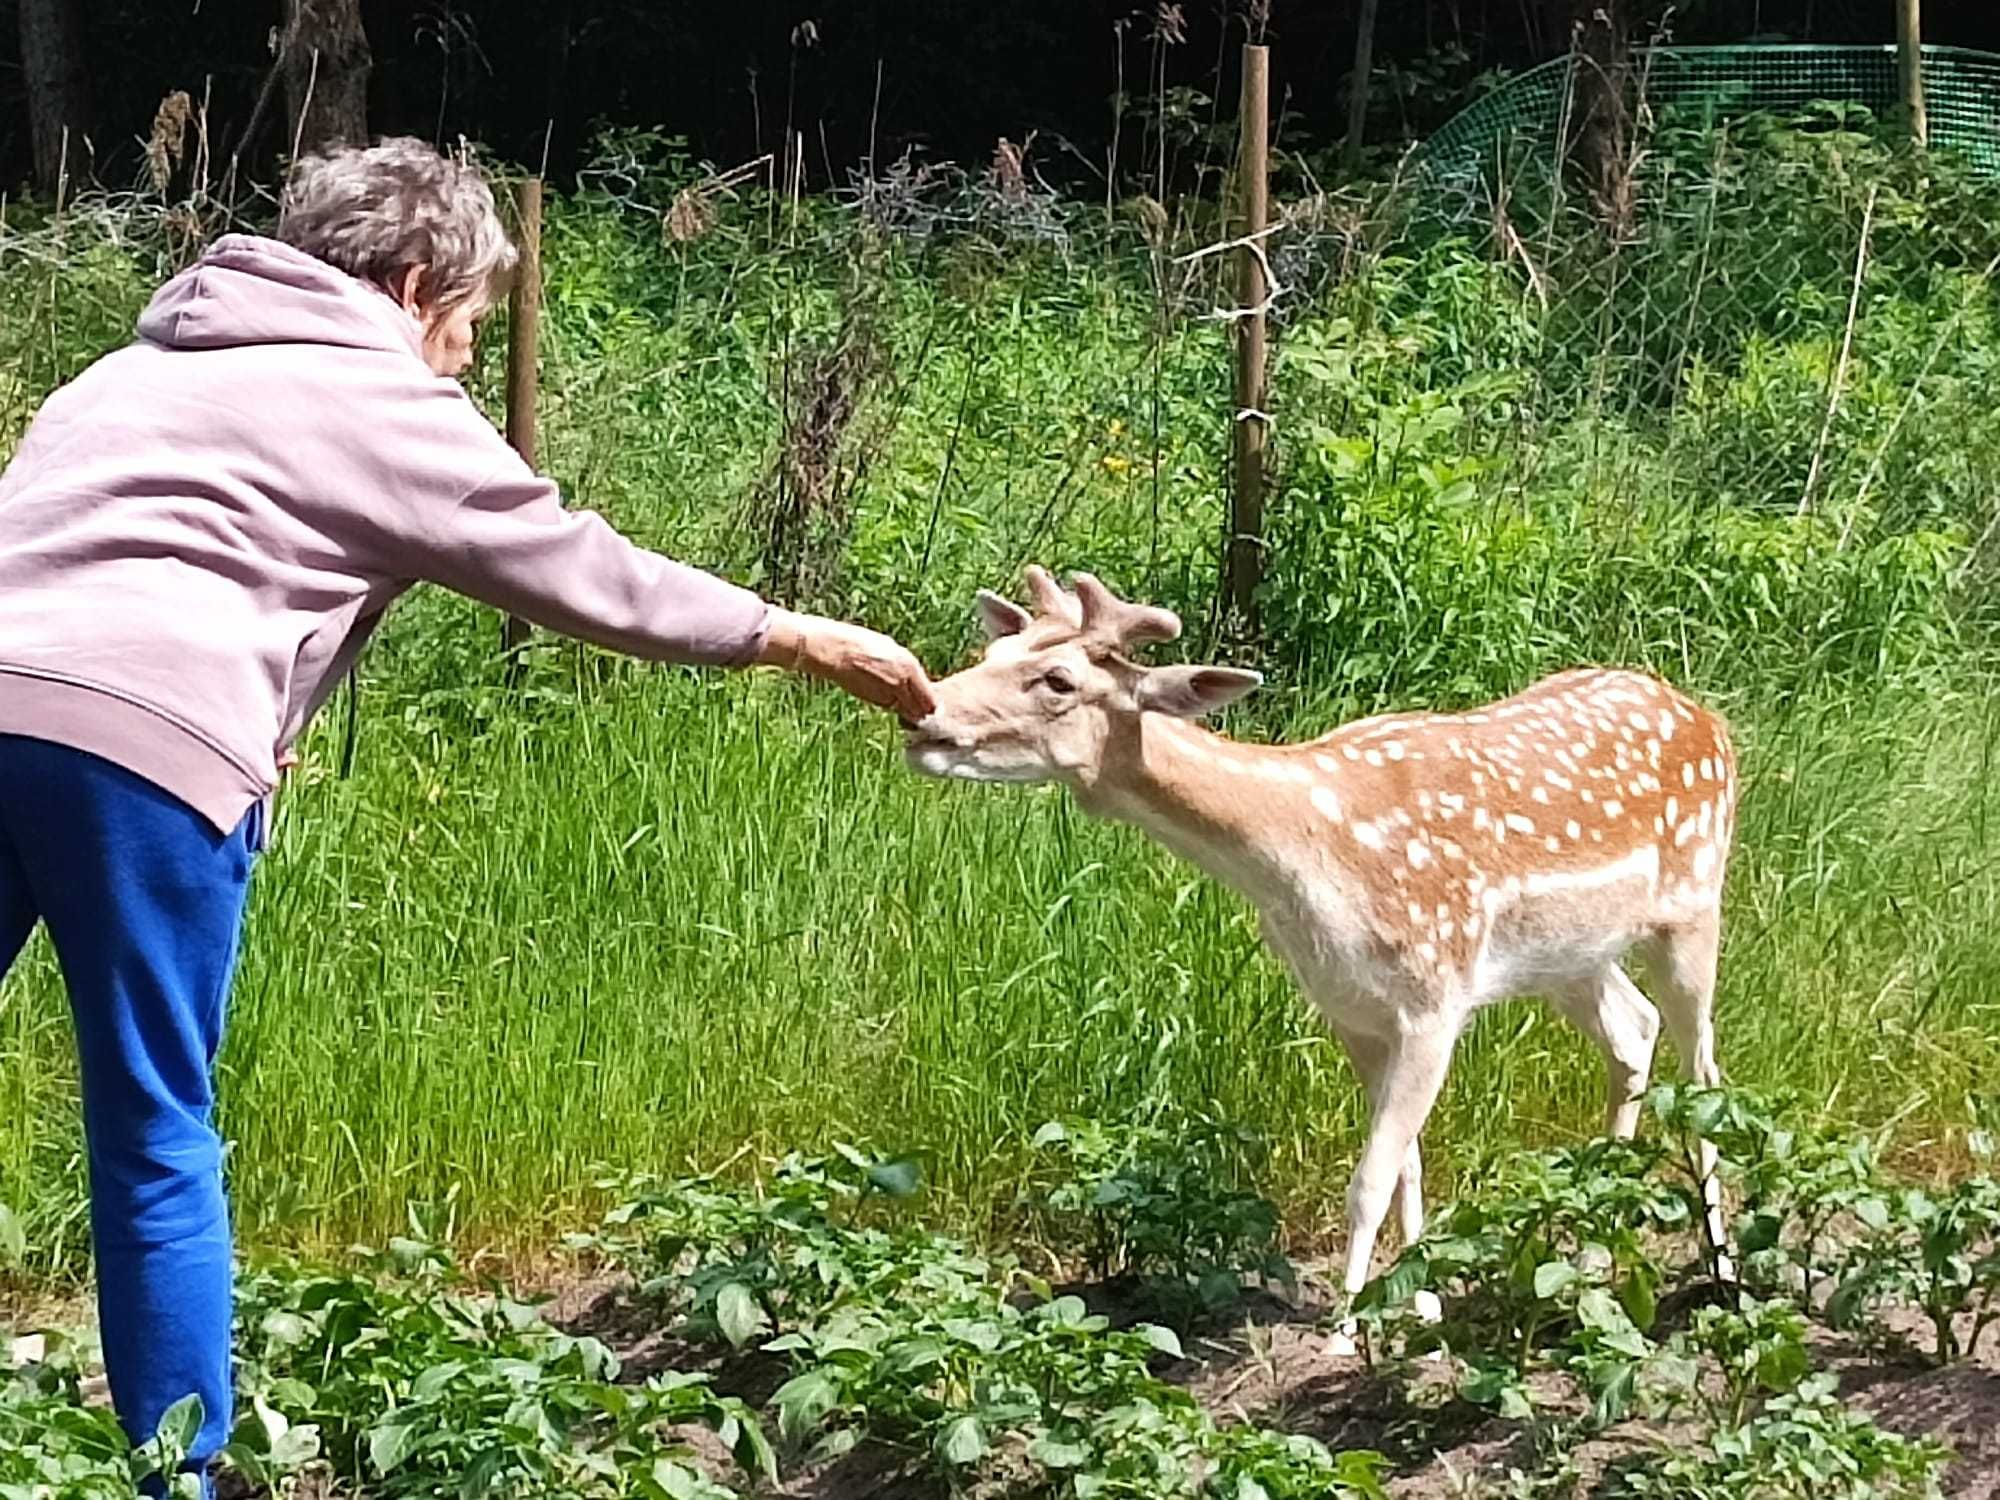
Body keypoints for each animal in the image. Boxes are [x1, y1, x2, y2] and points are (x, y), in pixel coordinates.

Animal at [908, 568, 1736, 1336]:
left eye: (1058, 680)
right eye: (993, 649)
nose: (926, 717)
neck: (1309, 855)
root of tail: (1713, 720)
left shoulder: (1436, 994)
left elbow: (1368, 1177)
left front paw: (1344, 1327)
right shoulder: (1352, 1007)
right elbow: (1404, 1161)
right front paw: (1420, 1302)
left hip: (1695, 902)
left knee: (1702, 1067)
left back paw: (1722, 1270)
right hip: (1569, 957)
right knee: (1632, 1030)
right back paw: (1596, 1253)